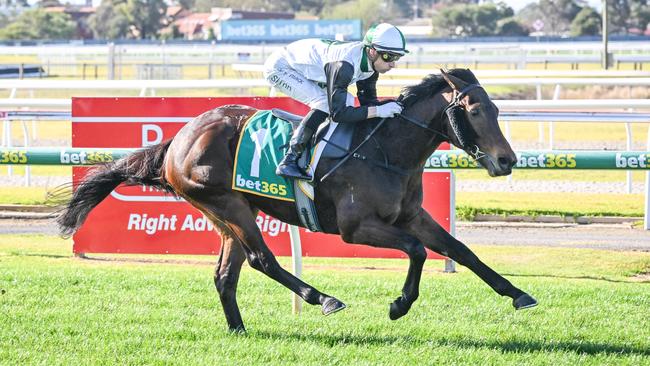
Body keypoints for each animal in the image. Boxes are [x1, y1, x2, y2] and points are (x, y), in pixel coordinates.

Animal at [58, 68, 536, 332]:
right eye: (474, 111)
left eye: (497, 109)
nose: (506, 160)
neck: (386, 151)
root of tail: (180, 137)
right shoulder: (356, 228)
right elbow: (417, 251)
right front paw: (399, 305)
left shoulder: (412, 216)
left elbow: (461, 250)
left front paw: (517, 294)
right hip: (227, 205)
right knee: (261, 260)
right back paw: (321, 298)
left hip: (229, 214)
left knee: (225, 275)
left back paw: (239, 330)